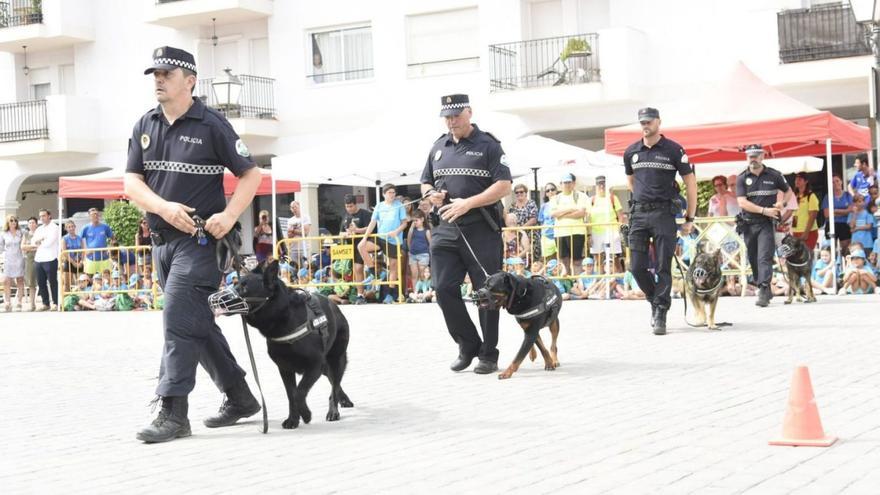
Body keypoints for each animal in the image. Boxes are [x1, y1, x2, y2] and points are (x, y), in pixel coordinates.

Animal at [210, 262, 354, 428]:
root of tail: (333, 304)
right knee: (334, 382)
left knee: (335, 385)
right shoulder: (285, 369)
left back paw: (333, 411)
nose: (215, 298)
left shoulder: (314, 365)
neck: (285, 319)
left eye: (245, 289)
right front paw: (293, 419)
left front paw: (306, 414)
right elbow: (291, 395)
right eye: (235, 284)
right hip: (325, 366)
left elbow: (299, 393)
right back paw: (344, 399)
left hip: (335, 359)